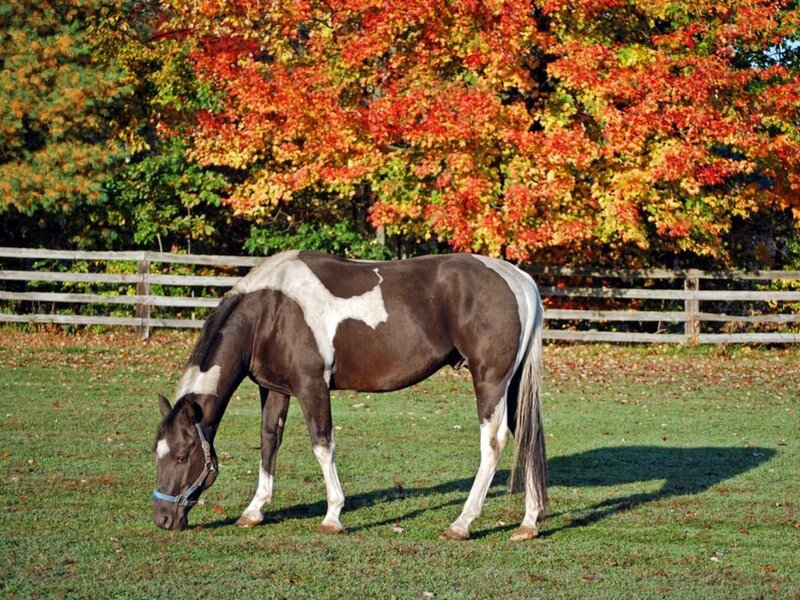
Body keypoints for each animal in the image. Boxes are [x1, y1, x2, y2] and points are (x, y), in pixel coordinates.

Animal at [152, 250, 547, 541]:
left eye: (184, 455)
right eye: (158, 453)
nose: (163, 519)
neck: (271, 309)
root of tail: (520, 281)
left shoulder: (311, 386)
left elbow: (322, 444)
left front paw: (333, 515)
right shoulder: (275, 389)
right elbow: (269, 442)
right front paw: (254, 510)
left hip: (490, 381)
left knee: (494, 442)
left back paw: (462, 523)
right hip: (512, 386)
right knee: (527, 438)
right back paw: (528, 523)